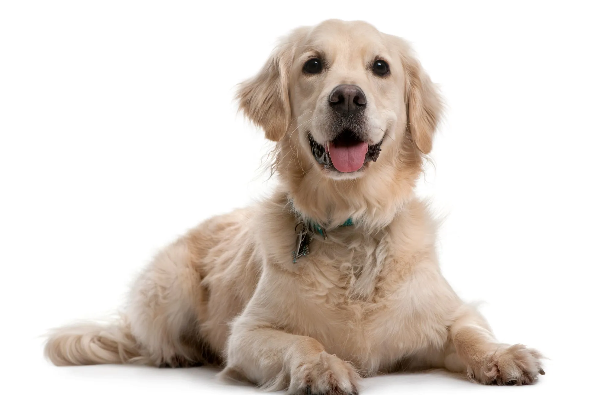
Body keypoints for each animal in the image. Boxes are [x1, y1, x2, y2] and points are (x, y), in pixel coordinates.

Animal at [46, 20, 544, 392]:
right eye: (313, 65)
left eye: (380, 67)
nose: (347, 96)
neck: (350, 222)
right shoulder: (247, 335)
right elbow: (298, 343)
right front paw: (322, 367)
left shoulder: (452, 311)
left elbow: (469, 332)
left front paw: (503, 355)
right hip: (170, 283)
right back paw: (178, 353)